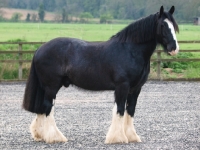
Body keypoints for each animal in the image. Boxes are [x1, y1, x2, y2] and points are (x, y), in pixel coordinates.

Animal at [22, 5, 179, 144]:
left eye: (174, 26)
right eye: (163, 25)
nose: (174, 48)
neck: (130, 50)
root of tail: (40, 49)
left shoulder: (135, 89)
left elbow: (130, 111)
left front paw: (132, 137)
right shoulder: (122, 87)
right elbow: (120, 110)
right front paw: (118, 138)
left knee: (42, 108)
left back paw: (41, 135)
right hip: (51, 86)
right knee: (48, 107)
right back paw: (55, 138)